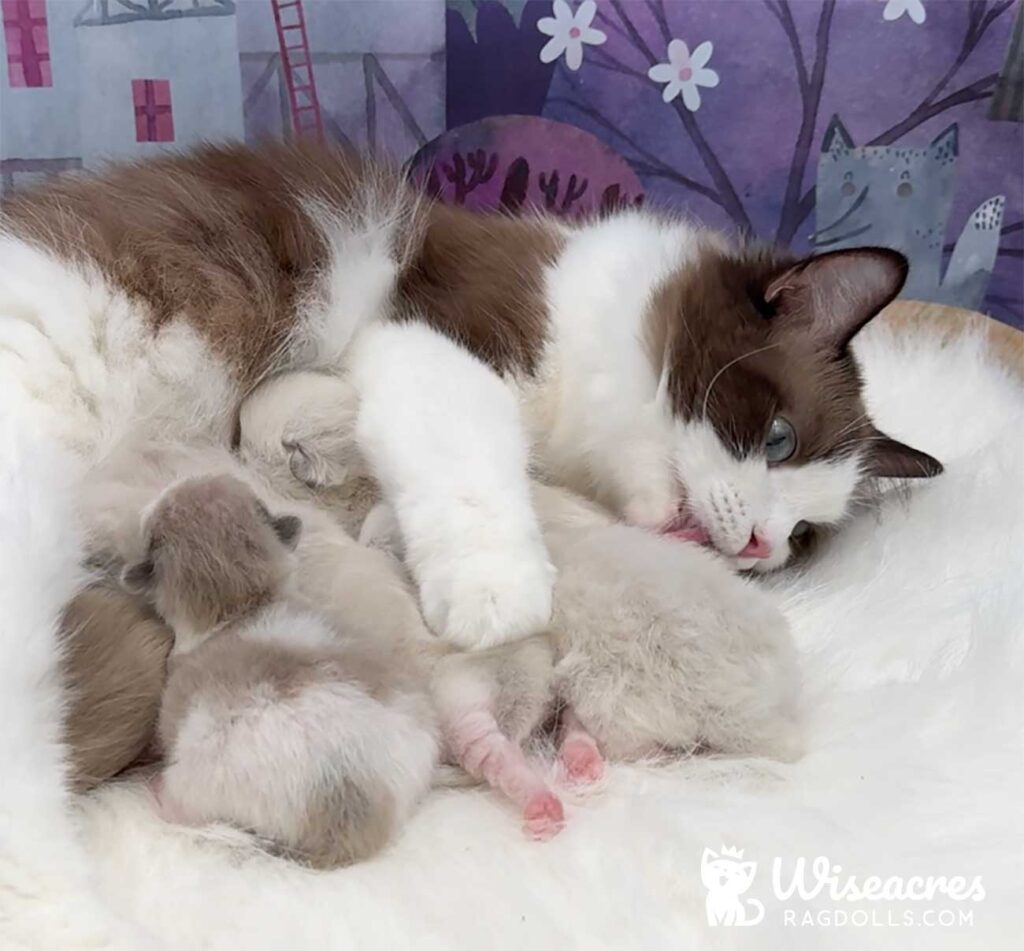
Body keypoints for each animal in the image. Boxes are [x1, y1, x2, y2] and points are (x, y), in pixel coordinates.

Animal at [2, 141, 942, 655]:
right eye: (778, 438)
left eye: (805, 534)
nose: (757, 545)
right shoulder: (433, 333)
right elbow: (466, 451)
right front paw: (498, 589)